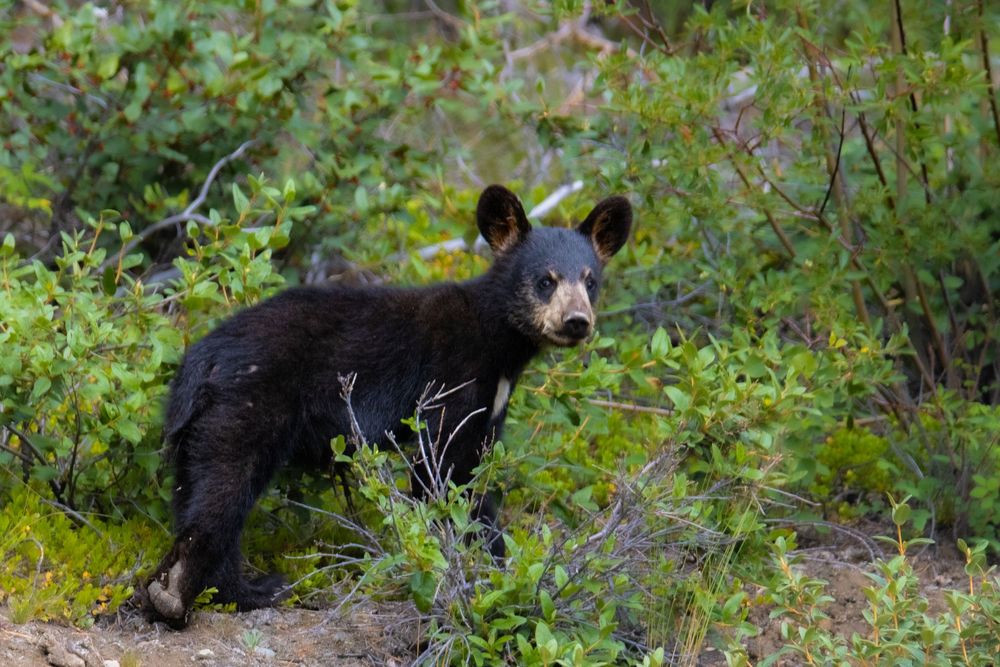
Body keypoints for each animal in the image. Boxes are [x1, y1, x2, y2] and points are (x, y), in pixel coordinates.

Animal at [140, 184, 632, 627]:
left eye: (590, 281)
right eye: (545, 280)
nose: (577, 321)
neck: (501, 344)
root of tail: (203, 359)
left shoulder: (492, 405)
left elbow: (471, 471)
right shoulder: (452, 378)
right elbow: (442, 472)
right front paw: (482, 571)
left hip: (198, 424)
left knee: (194, 483)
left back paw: (240, 589)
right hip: (250, 403)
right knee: (224, 490)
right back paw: (197, 595)